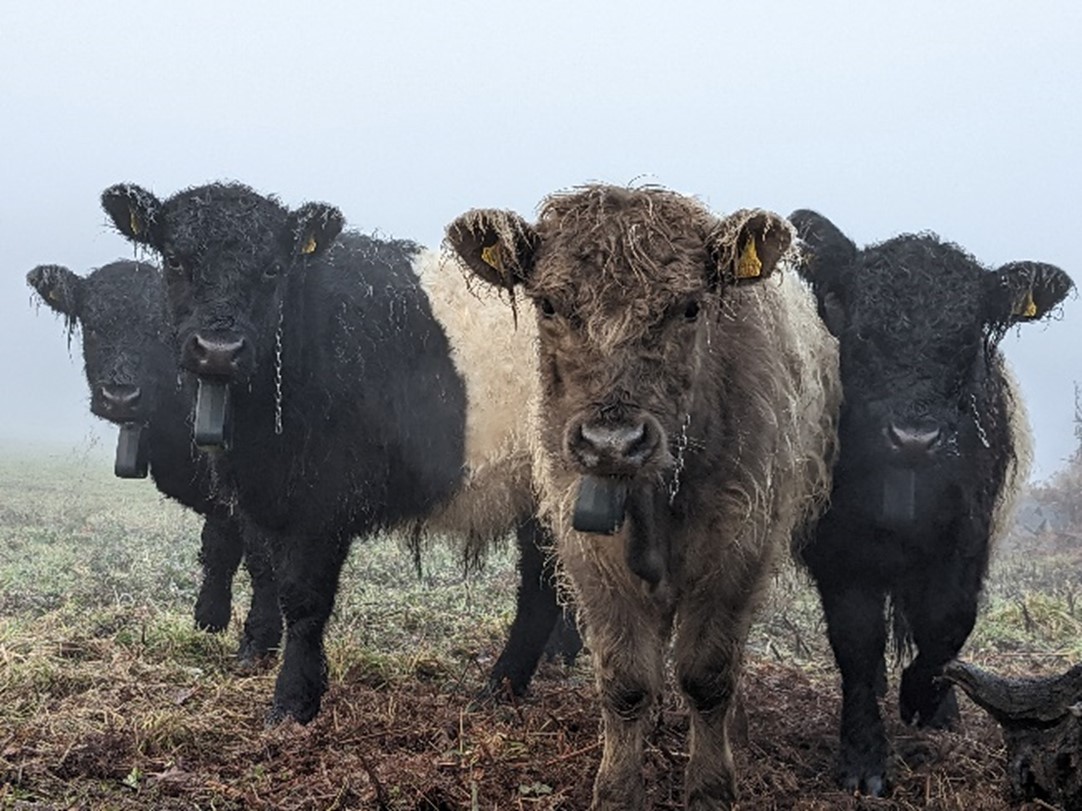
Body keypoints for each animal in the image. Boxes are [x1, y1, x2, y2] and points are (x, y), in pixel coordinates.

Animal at [27, 260, 281, 658]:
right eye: (92, 324)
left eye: (163, 328)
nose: (120, 396)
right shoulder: (221, 496)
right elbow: (218, 548)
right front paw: (209, 619)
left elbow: (261, 557)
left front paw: (259, 640)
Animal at [100, 181, 575, 723]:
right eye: (175, 260)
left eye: (273, 267)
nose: (219, 349)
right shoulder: (266, 499)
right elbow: (265, 573)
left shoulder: (323, 501)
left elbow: (303, 599)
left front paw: (293, 700)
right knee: (544, 586)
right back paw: (503, 686)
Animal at [446, 185, 840, 811]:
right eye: (549, 305)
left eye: (689, 307)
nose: (613, 442)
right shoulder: (590, 555)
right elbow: (626, 681)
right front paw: (617, 789)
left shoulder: (739, 547)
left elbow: (709, 674)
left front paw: (710, 787)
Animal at [790, 209, 1074, 796]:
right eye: (863, 332)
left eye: (966, 338)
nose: (914, 438)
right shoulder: (840, 550)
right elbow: (857, 641)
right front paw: (864, 760)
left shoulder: (966, 539)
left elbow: (948, 624)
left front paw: (926, 702)